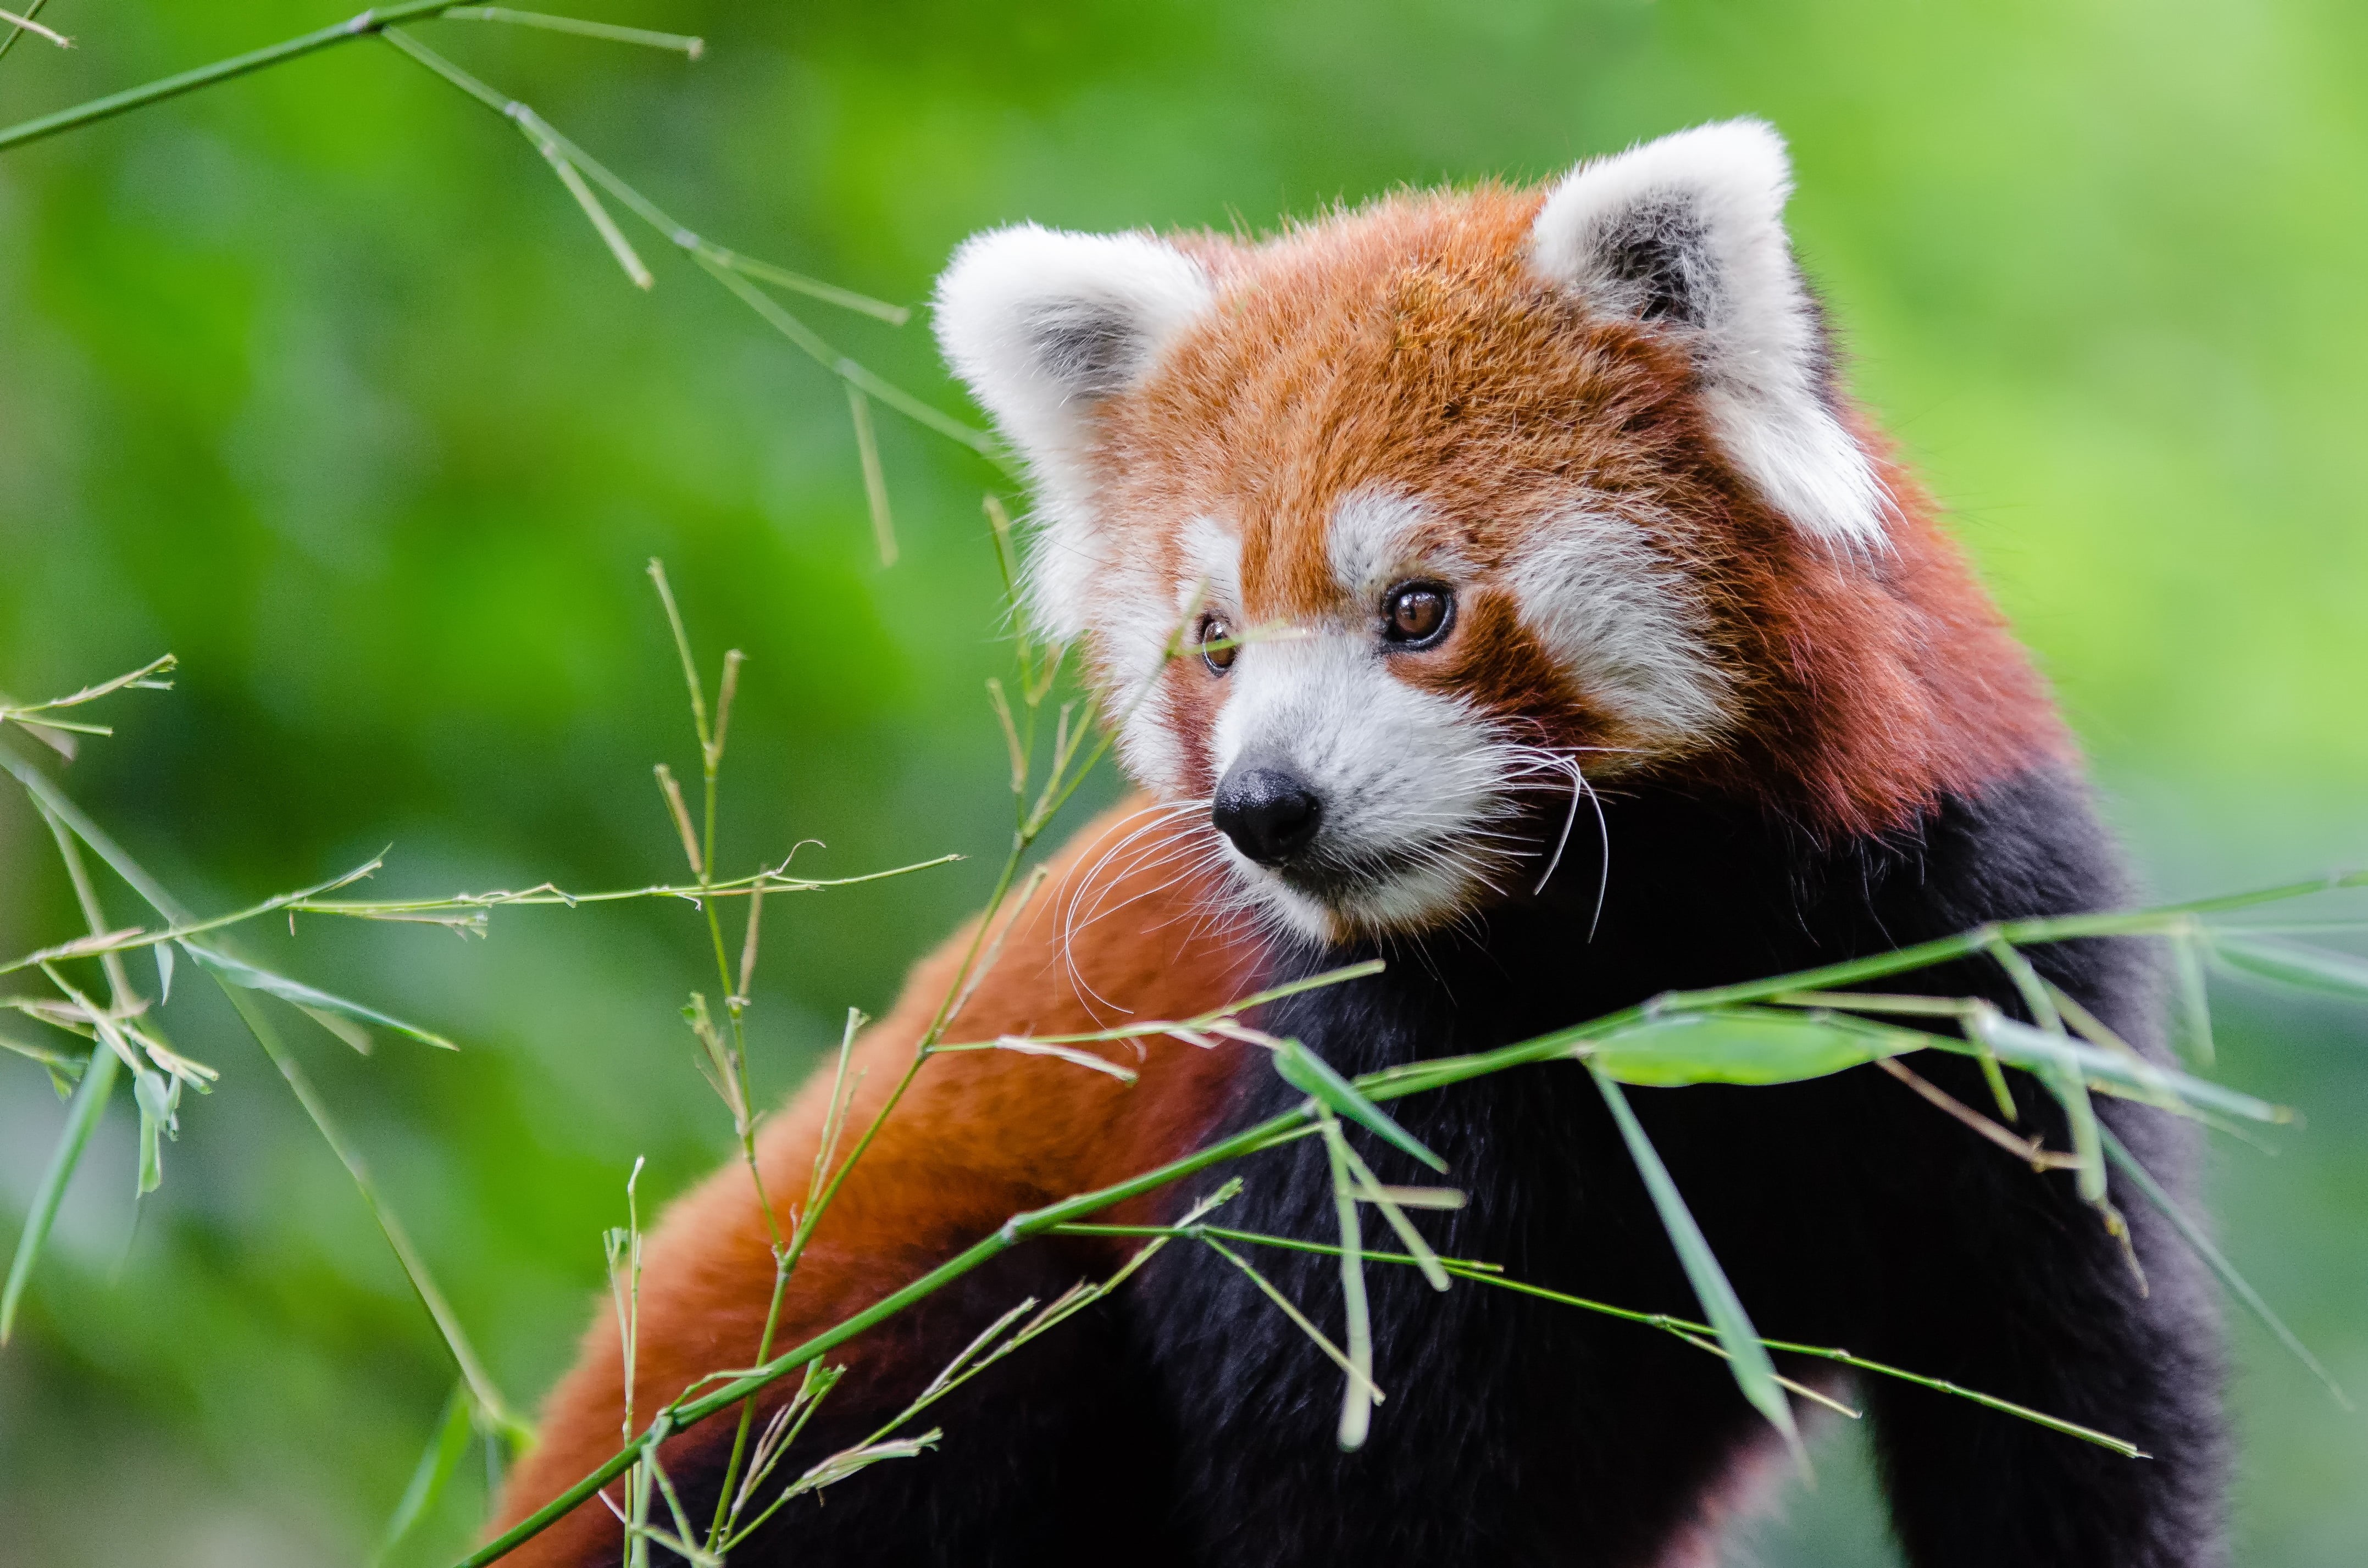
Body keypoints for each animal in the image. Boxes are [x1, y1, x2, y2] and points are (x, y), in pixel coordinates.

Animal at [492, 120, 2224, 1568]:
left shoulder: (1980, 961)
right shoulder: (1323, 1114)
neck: (1641, 950)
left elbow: (2070, 1397)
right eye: (1212, 640)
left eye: (1417, 609)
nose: (1264, 803)